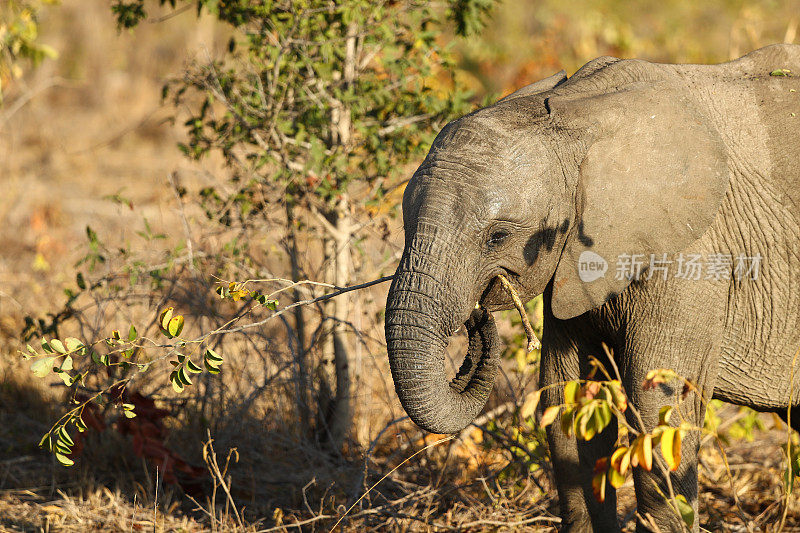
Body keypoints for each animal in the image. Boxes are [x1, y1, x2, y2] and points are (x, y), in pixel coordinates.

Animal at [384, 43, 800, 528]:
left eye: (498, 236)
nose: (477, 315)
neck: (576, 114)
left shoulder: (694, 257)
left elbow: (658, 406)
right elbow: (568, 396)